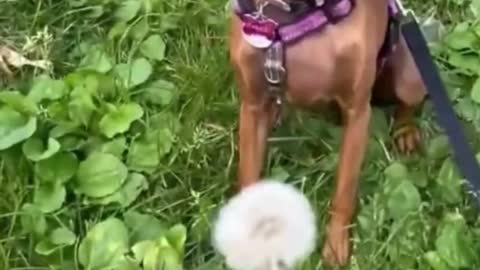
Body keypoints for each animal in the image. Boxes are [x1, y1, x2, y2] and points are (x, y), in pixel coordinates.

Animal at [229, 0, 428, 266]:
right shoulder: (252, 108)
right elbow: (248, 180)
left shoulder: (357, 113)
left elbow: (344, 191)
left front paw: (335, 247)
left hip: (410, 78)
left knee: (406, 106)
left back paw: (405, 132)